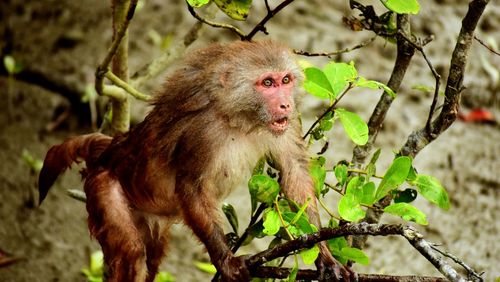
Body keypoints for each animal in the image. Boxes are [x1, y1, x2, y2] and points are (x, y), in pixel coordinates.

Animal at [39, 40, 354, 282]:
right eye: (267, 83)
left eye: (285, 80)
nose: (285, 104)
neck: (239, 117)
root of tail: (113, 150)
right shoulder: (201, 134)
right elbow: (191, 187)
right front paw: (225, 260)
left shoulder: (288, 124)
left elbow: (294, 174)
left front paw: (324, 256)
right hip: (104, 186)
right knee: (132, 251)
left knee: (151, 256)